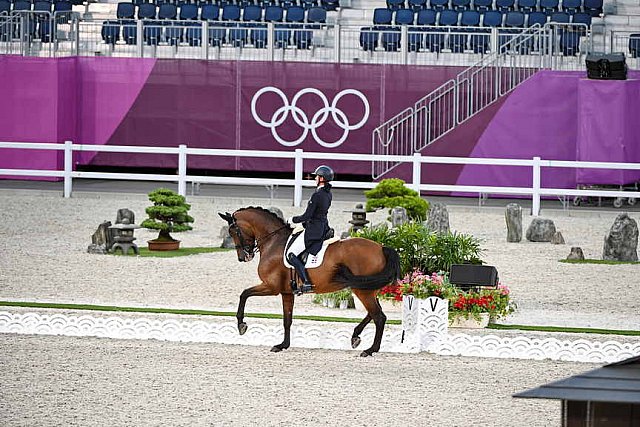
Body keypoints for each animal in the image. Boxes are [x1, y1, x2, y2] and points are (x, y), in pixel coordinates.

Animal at [220, 207, 400, 358]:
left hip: (362, 290)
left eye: (233, 231)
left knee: (379, 317)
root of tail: (381, 248)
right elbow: (287, 319)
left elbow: (244, 294)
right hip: (367, 289)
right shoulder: (286, 292)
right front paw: (282, 345)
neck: (274, 242)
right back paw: (356, 337)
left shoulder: (271, 287)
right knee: (374, 313)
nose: (243, 257)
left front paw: (241, 325)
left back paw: (370, 350)